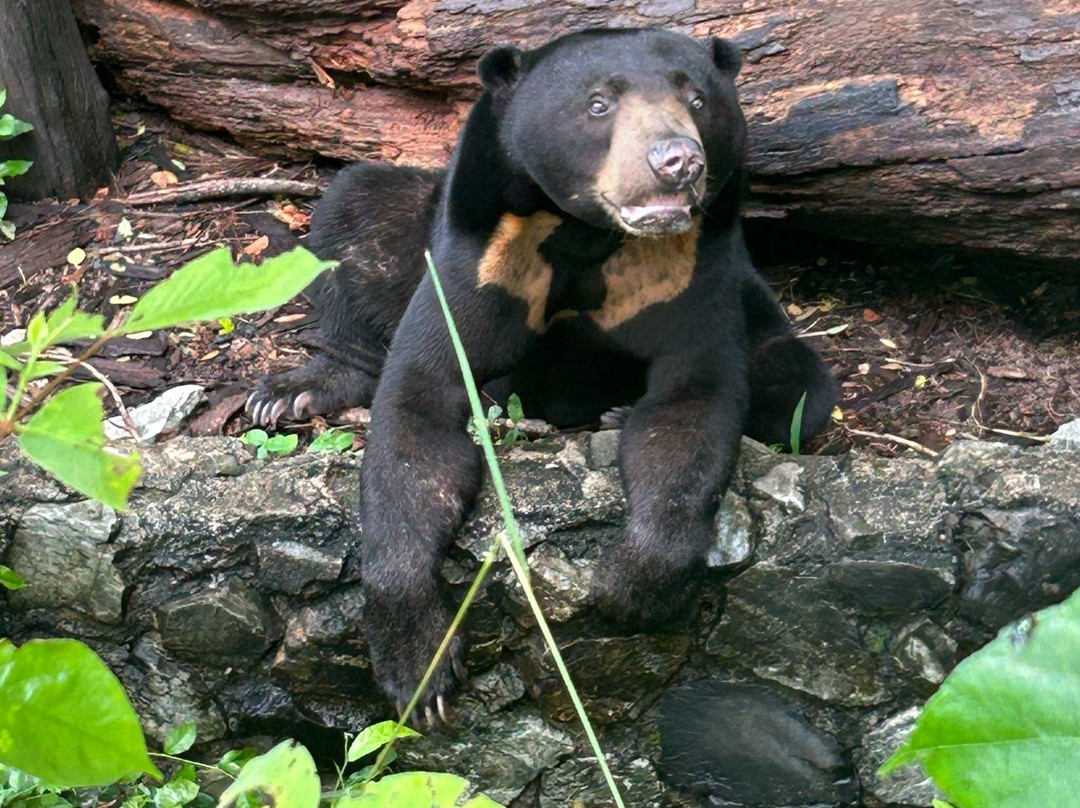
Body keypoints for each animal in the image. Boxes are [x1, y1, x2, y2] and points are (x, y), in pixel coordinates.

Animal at [247, 28, 837, 718]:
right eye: (598, 105)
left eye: (697, 99)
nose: (677, 161)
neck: (587, 233)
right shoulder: (482, 255)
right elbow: (421, 401)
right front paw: (417, 664)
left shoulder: (692, 268)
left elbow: (693, 400)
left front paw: (630, 586)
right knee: (353, 210)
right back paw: (294, 391)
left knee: (798, 386)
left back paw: (616, 412)